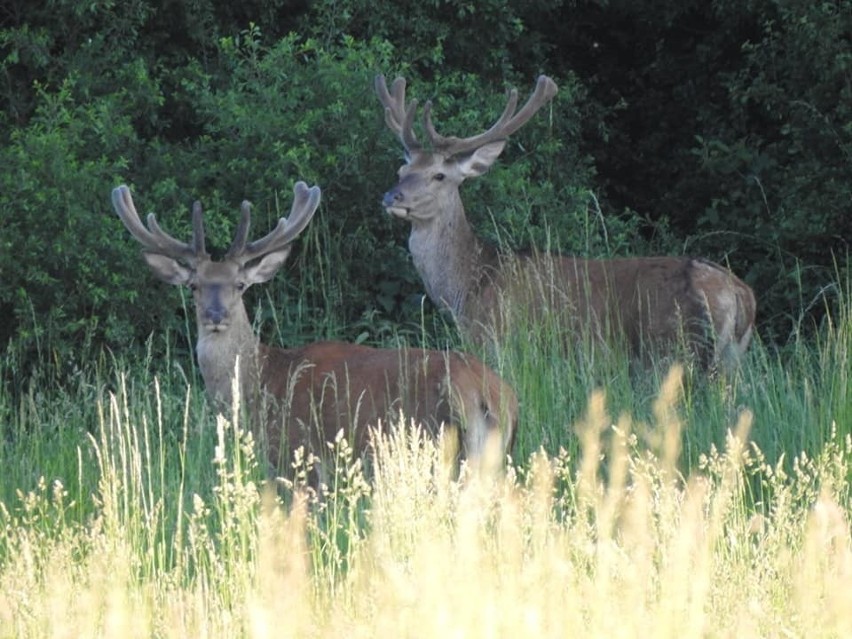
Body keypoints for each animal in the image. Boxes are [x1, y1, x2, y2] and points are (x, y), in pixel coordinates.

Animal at [110, 182, 516, 478]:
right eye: (194, 285)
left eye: (240, 285)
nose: (215, 315)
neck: (262, 381)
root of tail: (487, 393)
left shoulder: (297, 454)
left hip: (430, 448)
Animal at [376, 74, 756, 370]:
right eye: (402, 169)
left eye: (439, 175)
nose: (391, 197)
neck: (467, 286)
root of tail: (741, 294)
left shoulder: (497, 339)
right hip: (730, 361)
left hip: (679, 349)